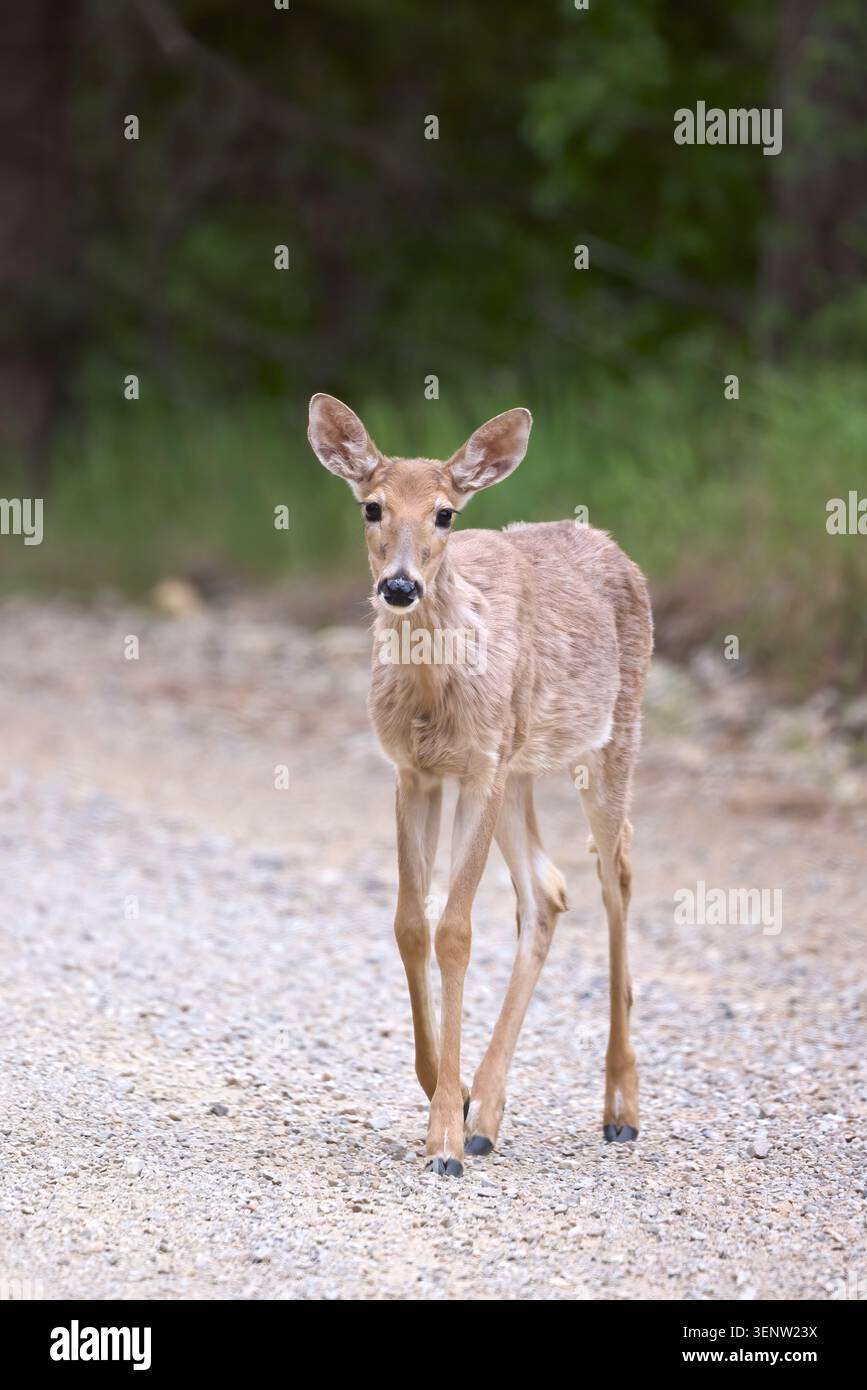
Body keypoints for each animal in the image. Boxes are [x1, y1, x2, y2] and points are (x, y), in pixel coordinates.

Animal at [308, 394, 653, 1176]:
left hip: (612, 732)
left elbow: (456, 931)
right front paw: (449, 1092)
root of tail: (615, 546)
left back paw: (620, 1109)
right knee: (547, 891)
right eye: (371, 506)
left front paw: (442, 1138)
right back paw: (487, 1113)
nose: (399, 585)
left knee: (615, 871)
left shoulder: (479, 766)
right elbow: (410, 924)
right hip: (519, 767)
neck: (433, 694)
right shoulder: (416, 772)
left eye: (445, 513)